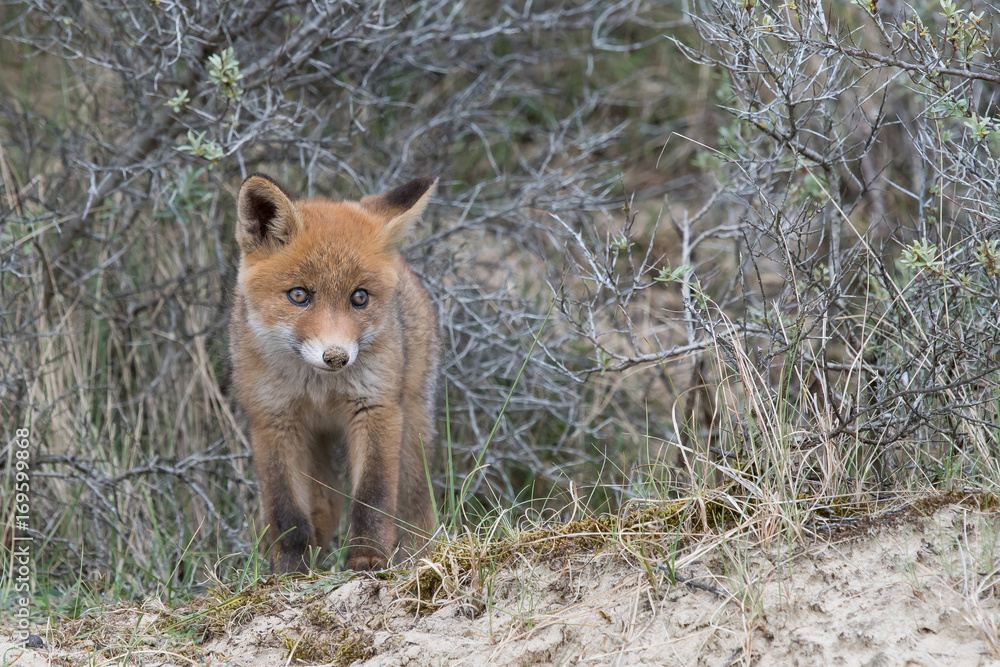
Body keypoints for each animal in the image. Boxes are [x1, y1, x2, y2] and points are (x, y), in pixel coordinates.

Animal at [228, 173, 441, 573]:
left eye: (359, 298)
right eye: (298, 295)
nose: (336, 356)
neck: (320, 388)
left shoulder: (376, 409)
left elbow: (373, 495)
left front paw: (367, 557)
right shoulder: (273, 419)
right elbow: (286, 510)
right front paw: (289, 569)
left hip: (412, 422)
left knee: (414, 502)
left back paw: (418, 553)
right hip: (314, 443)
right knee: (326, 504)